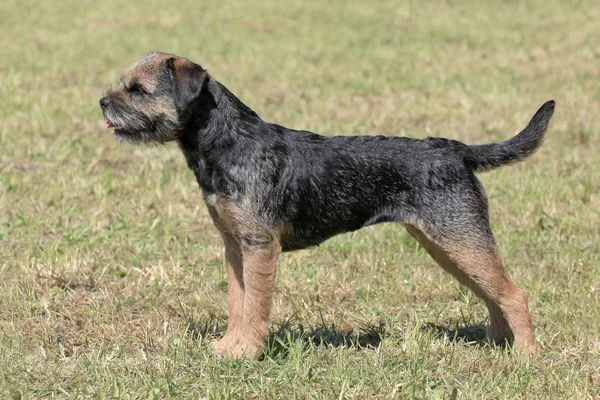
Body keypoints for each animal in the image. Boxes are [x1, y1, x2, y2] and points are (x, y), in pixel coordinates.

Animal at [98, 51, 552, 358]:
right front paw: (228, 347)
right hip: (447, 245)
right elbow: (237, 303)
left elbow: (255, 305)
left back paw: (525, 357)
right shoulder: (235, 247)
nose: (102, 101)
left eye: (137, 90)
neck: (229, 143)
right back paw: (500, 345)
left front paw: (247, 353)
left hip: (460, 239)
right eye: (123, 83)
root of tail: (457, 150)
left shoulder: (260, 248)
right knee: (492, 293)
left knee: (515, 294)